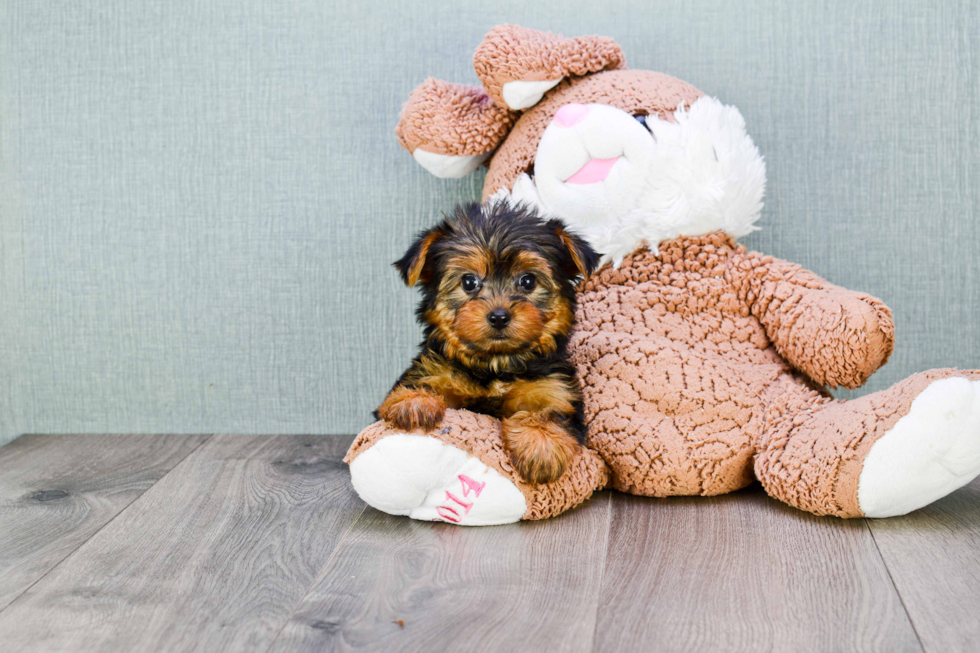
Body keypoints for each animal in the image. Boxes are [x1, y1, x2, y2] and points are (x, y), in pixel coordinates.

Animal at [378, 200, 600, 484]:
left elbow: (550, 412)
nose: (499, 316)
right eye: (469, 281)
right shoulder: (434, 370)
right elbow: (418, 385)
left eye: (528, 281)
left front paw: (541, 445)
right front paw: (413, 402)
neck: (495, 363)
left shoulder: (553, 388)